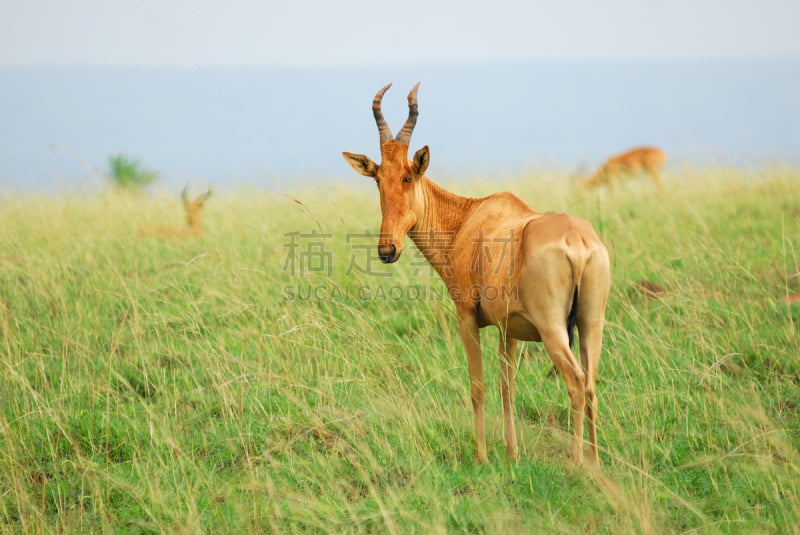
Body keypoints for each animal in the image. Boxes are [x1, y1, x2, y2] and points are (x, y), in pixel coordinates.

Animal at [340, 82, 608, 464]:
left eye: (407, 175)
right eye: (378, 179)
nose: (387, 250)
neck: (469, 218)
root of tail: (577, 241)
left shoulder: (466, 316)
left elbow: (478, 386)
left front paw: (481, 456)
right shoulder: (509, 329)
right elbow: (507, 386)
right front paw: (512, 454)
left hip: (553, 328)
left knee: (574, 380)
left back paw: (576, 463)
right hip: (590, 322)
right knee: (591, 384)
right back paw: (596, 463)